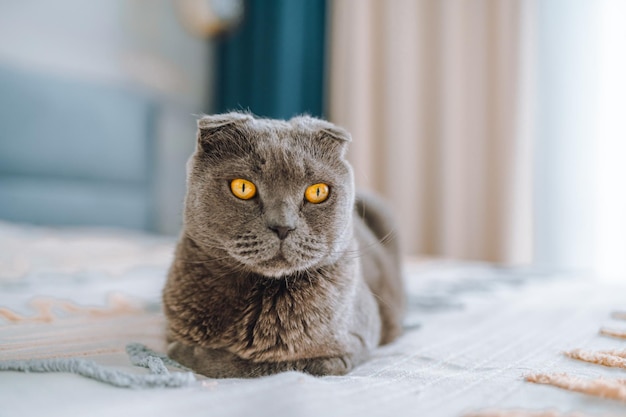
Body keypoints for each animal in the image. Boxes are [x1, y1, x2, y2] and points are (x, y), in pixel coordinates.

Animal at [161, 111, 404, 376]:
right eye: (242, 187)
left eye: (317, 192)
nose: (283, 227)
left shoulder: (350, 349)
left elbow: (273, 365)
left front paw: (196, 353)